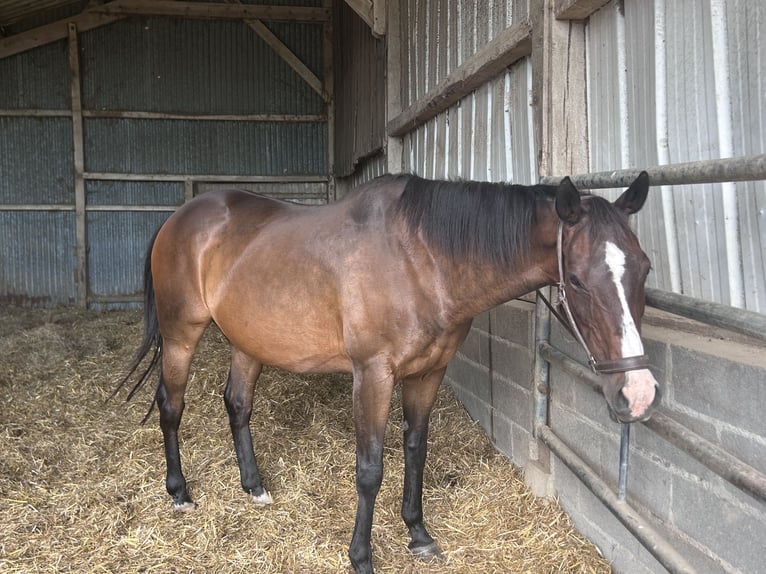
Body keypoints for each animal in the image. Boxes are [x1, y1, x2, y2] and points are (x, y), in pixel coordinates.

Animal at [117, 172, 660, 574]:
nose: (638, 393)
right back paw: (179, 493)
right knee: (172, 405)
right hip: (182, 334)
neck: (422, 258)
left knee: (237, 404)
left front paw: (418, 534)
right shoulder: (373, 374)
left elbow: (416, 450)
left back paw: (254, 487)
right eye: (577, 280)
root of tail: (179, 218)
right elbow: (370, 467)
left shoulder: (428, 373)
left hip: (248, 341)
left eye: (645, 267)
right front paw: (361, 557)